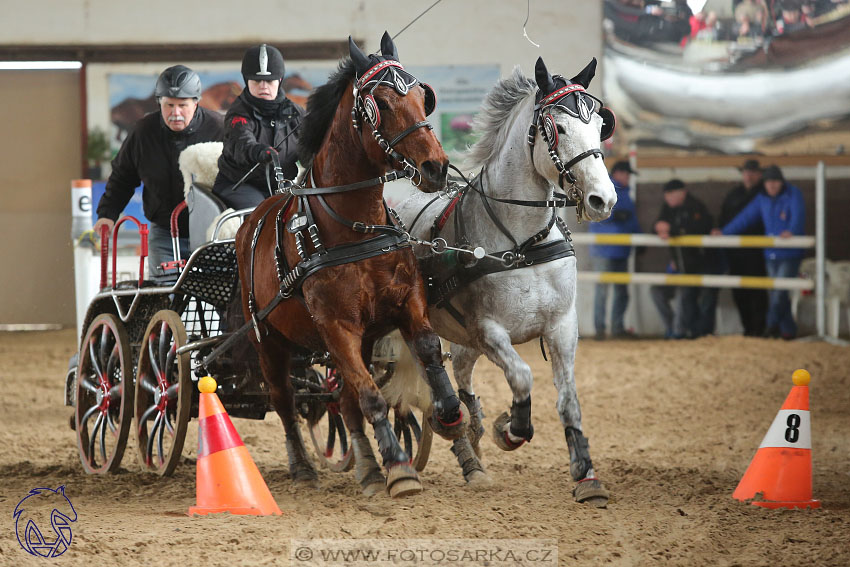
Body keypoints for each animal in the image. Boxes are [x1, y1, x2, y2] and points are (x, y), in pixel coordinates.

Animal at [234, 33, 464, 500]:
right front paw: (400, 468)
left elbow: (428, 351)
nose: (436, 167)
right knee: (285, 400)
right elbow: (372, 396)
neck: (354, 229)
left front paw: (449, 415)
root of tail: (252, 220)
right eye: (382, 103)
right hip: (268, 338)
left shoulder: (406, 304)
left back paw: (368, 468)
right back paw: (304, 467)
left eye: (423, 96)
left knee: (343, 401)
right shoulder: (337, 327)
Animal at [390, 57, 616, 508]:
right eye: (557, 128)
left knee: (458, 377)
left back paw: (471, 451)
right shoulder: (490, 330)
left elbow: (569, 400)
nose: (604, 199)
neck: (522, 244)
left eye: (602, 125)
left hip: (460, 338)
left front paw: (586, 475)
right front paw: (509, 429)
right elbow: (523, 377)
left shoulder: (562, 325)